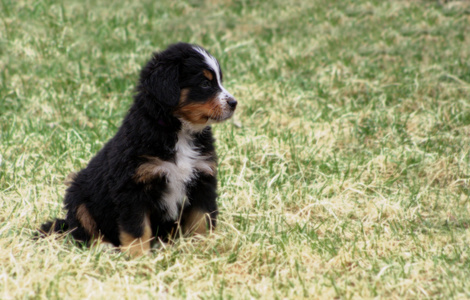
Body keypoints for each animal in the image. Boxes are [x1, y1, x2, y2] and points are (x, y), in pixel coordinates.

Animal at [40, 42, 237, 258]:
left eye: (219, 81)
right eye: (205, 84)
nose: (234, 103)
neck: (179, 132)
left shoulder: (202, 179)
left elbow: (202, 220)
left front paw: (204, 247)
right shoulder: (132, 187)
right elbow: (137, 228)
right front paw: (138, 257)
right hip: (78, 197)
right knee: (83, 229)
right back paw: (104, 247)